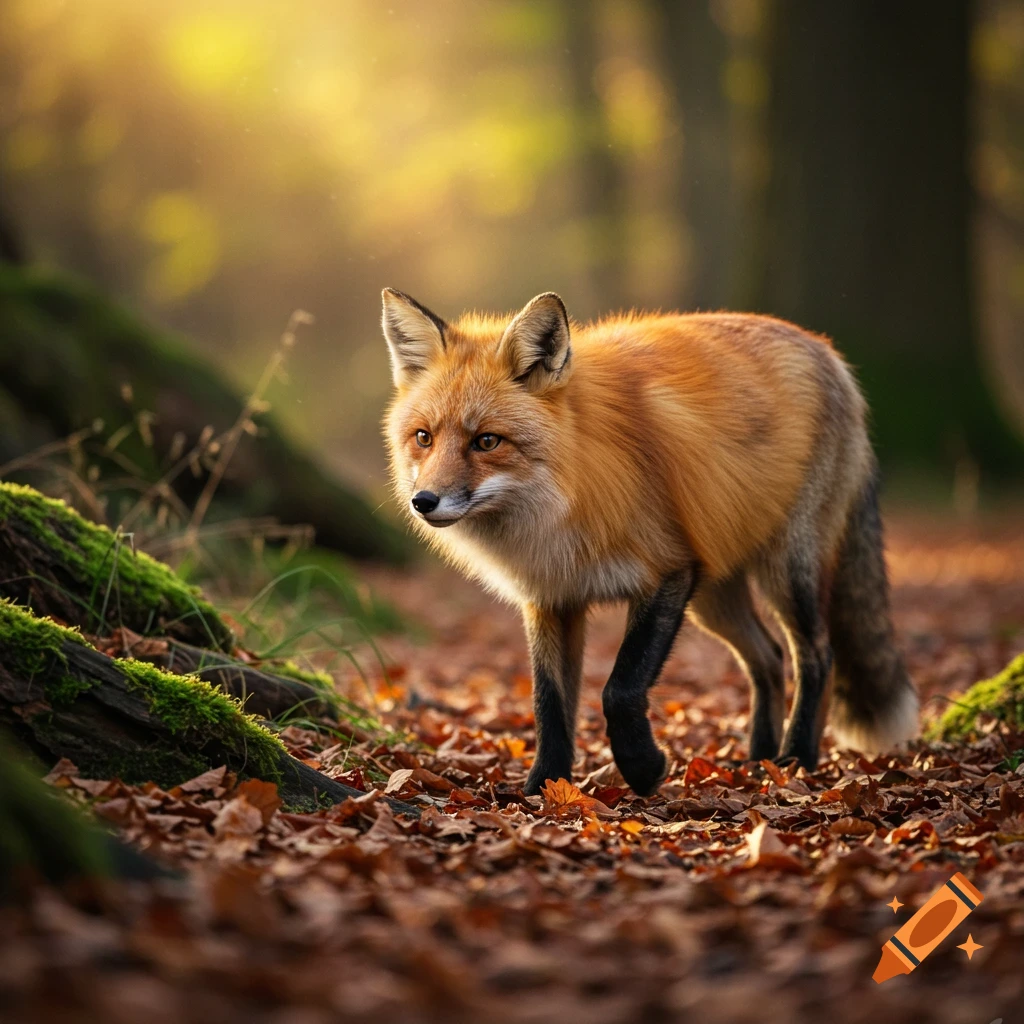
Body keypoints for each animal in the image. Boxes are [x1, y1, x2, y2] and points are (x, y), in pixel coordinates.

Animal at [380, 288, 919, 796]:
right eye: (424, 438)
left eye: (487, 441)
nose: (423, 501)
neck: (565, 495)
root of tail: (829, 352)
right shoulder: (552, 598)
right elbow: (549, 705)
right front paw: (543, 787)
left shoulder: (668, 573)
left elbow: (619, 690)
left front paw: (643, 768)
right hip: (714, 594)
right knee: (767, 658)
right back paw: (758, 758)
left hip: (785, 571)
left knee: (817, 655)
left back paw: (796, 758)